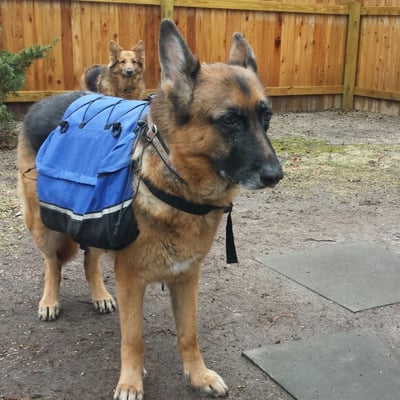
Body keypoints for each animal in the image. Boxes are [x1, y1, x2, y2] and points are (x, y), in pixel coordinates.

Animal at [17, 18, 282, 396]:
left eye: (266, 117)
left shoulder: (187, 276)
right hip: (45, 225)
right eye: (230, 120)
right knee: (53, 263)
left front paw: (197, 375)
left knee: (89, 259)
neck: (178, 184)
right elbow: (134, 338)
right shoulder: (131, 279)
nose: (276, 175)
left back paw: (99, 294)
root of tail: (42, 103)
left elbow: (188, 333)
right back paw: (50, 301)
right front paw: (131, 382)